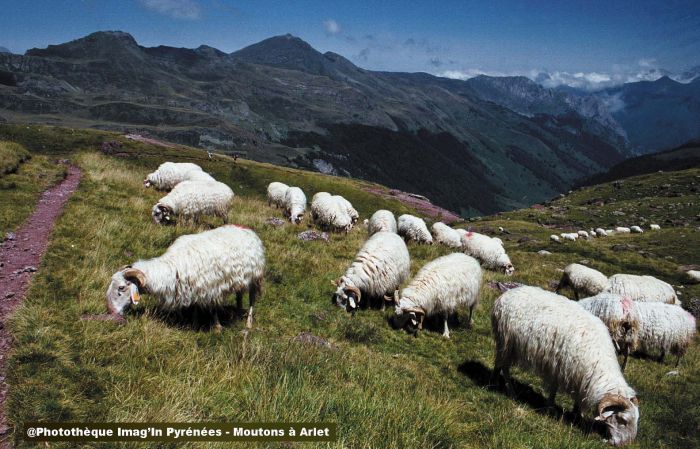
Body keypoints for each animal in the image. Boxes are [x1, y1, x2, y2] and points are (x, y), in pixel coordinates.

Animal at [106, 225, 265, 330]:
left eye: (121, 288)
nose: (111, 312)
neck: (174, 266)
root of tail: (247, 230)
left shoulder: (212, 287)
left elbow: (213, 307)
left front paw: (217, 327)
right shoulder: (194, 286)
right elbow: (195, 306)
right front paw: (194, 323)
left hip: (255, 278)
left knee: (252, 299)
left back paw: (248, 323)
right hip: (241, 278)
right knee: (239, 294)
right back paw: (237, 312)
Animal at [492, 286, 639, 446]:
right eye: (623, 420)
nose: (624, 445)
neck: (597, 363)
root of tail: (507, 294)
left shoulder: (581, 375)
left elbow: (579, 397)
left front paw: (577, 415)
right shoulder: (560, 366)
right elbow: (554, 389)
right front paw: (550, 408)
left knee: (498, 364)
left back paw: (495, 381)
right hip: (506, 342)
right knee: (503, 366)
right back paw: (508, 389)